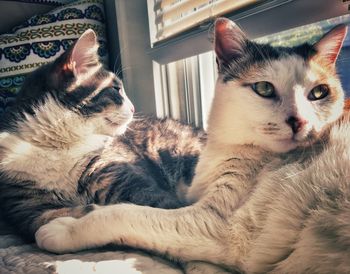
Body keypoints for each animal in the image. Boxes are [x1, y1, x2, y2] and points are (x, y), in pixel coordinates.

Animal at [0, 28, 205, 241]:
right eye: (116, 90)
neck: (58, 146)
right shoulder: (24, 206)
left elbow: (160, 206)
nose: (133, 108)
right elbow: (41, 220)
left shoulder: (118, 175)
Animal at [34, 18, 350, 274]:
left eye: (318, 93)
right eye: (264, 88)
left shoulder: (214, 224)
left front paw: (64, 228)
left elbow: (124, 213)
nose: (299, 120)